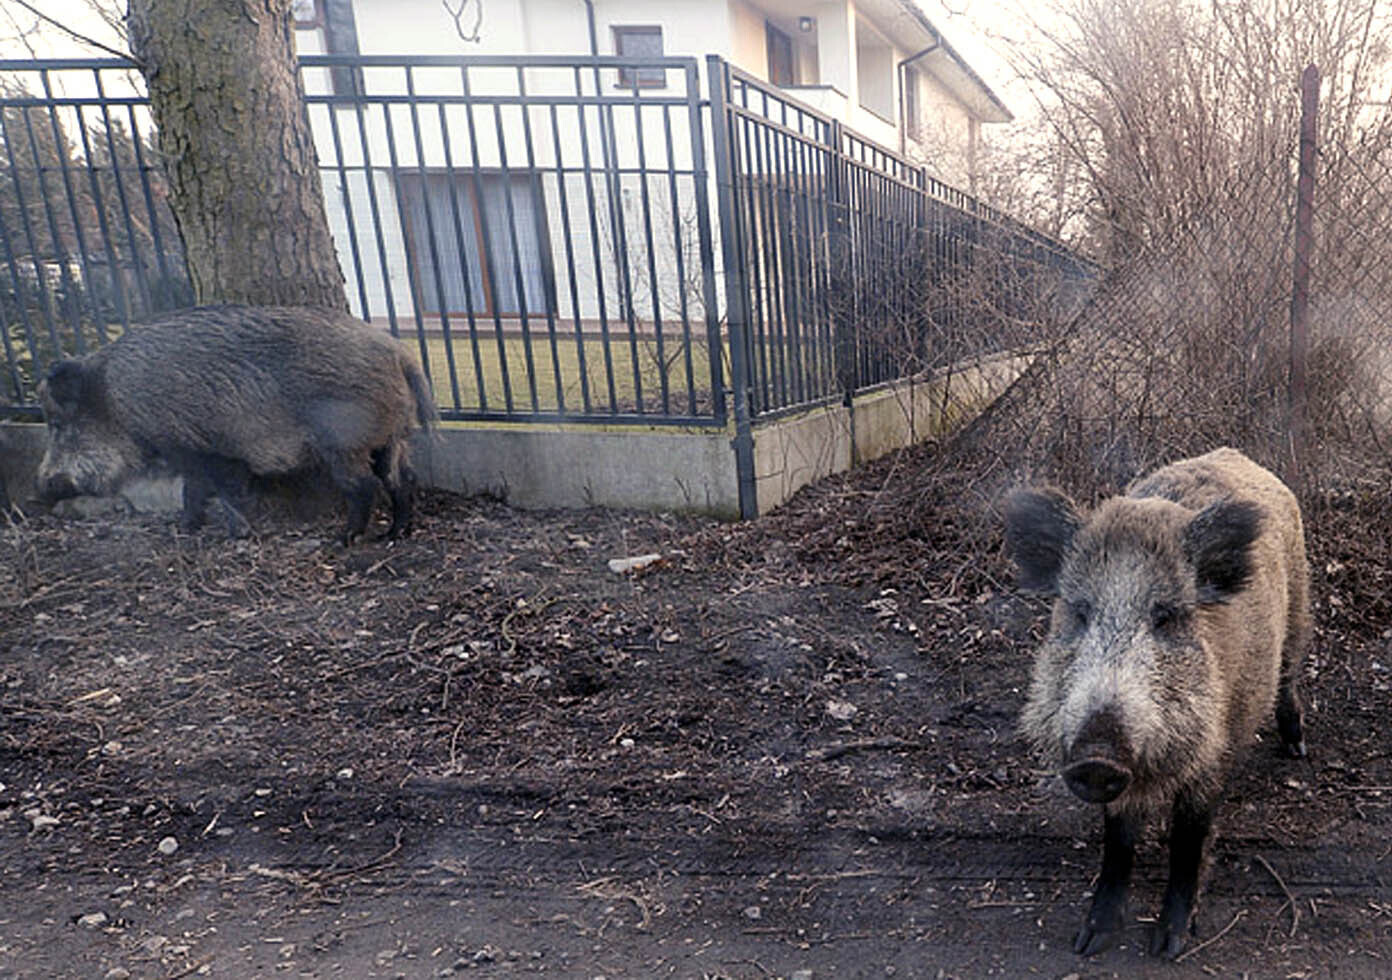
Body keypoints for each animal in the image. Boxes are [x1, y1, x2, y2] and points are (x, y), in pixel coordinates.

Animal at [37, 304, 437, 544]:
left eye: (58, 424)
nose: (38, 492)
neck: (115, 401)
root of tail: (398, 353)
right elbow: (194, 490)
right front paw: (186, 529)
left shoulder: (202, 449)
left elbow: (220, 491)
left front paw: (234, 534)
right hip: (390, 437)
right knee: (401, 478)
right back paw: (395, 533)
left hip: (344, 443)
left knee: (364, 485)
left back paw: (345, 538)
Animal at [1003, 447, 1309, 959]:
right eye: (1080, 612)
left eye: (1165, 618)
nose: (1097, 755)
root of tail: (1235, 454)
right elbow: (1118, 841)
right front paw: (1089, 943)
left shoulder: (1215, 751)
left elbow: (1188, 840)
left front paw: (1169, 947)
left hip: (1301, 606)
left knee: (1289, 674)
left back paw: (1296, 747)